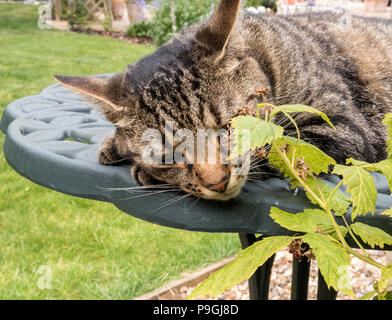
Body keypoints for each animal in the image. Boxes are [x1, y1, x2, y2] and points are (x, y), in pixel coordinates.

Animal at [53, 0, 392, 200]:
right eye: (167, 153)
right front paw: (115, 145)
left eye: (230, 127)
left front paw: (142, 171)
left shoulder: (344, 127)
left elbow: (276, 149)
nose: (216, 182)